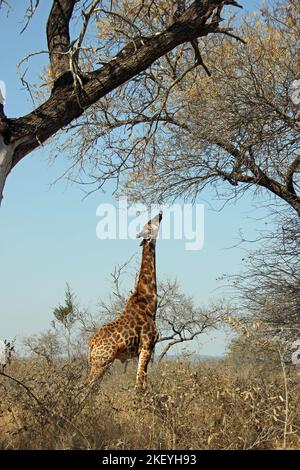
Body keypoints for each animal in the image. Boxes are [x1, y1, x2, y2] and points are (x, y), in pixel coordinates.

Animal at [89, 212, 163, 390]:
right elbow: (138, 386)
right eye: (149, 223)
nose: (160, 213)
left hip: (98, 363)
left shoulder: (146, 349)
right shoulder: (146, 346)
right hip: (102, 362)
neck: (150, 303)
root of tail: (90, 345)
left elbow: (144, 384)